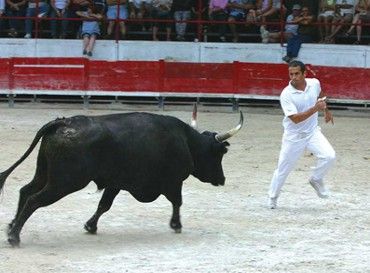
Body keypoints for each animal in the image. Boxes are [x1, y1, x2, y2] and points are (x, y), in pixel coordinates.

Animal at [0, 109, 243, 246]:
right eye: (219, 154)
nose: (222, 179)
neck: (186, 141)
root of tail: (64, 122)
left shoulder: (115, 183)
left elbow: (104, 205)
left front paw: (91, 226)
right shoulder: (173, 181)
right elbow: (177, 201)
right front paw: (176, 224)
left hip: (45, 173)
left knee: (25, 191)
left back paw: (11, 226)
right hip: (64, 182)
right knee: (34, 200)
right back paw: (14, 237)